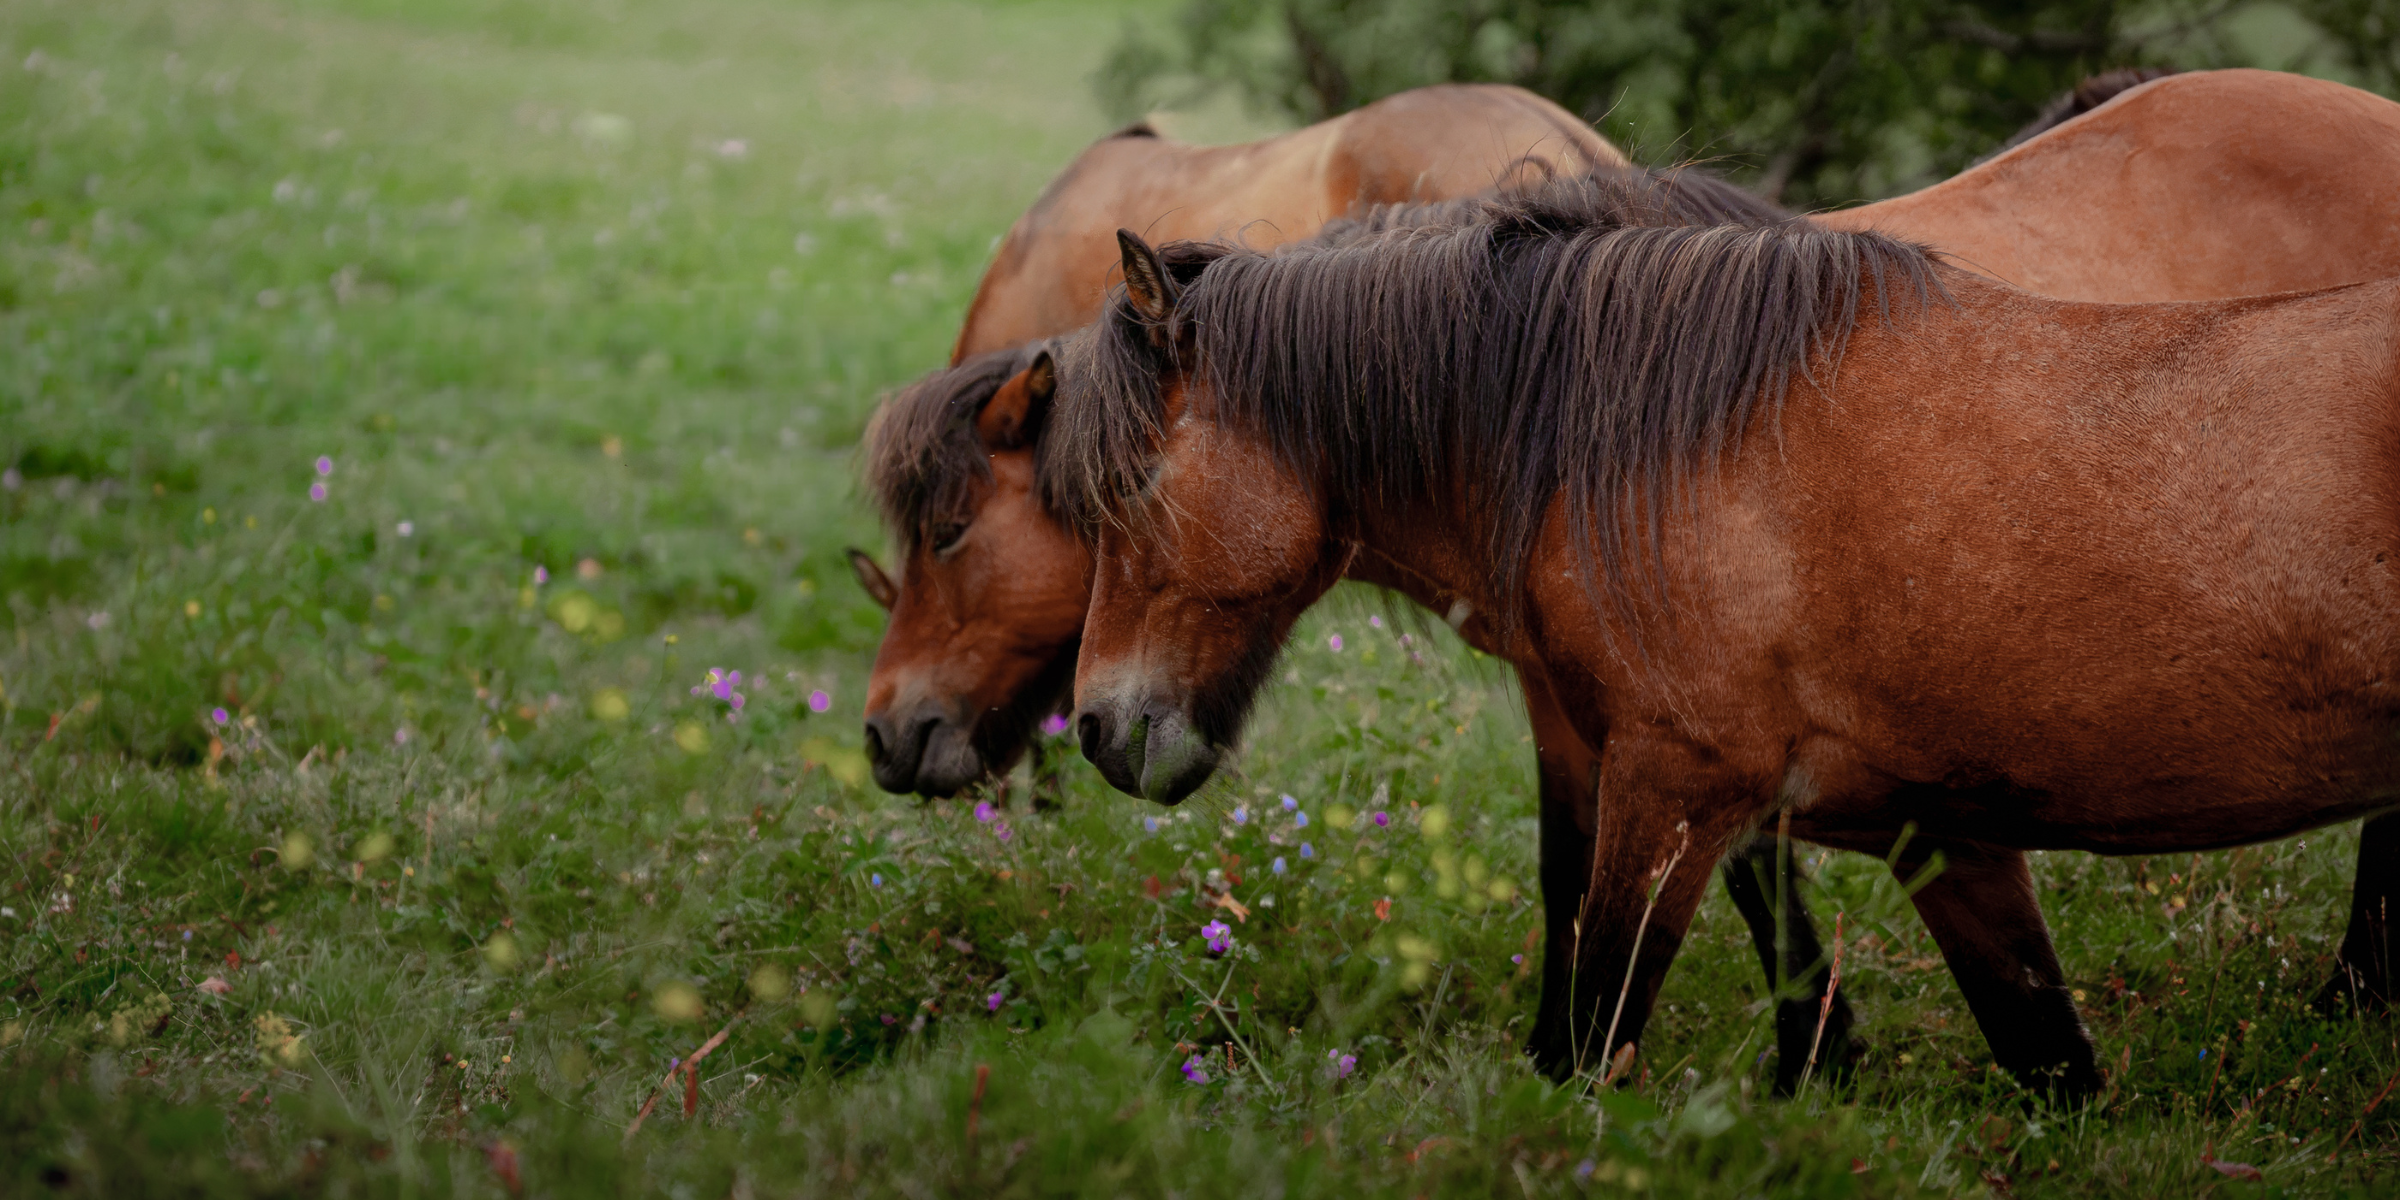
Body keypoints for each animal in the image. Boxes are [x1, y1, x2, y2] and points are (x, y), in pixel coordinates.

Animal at [860, 69, 2400, 1092]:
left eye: (959, 534)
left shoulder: (1658, 724)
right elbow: (1623, 868)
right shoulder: (1590, 705)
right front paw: (1793, 1056)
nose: (889, 738)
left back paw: (2354, 1001)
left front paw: (1783, 1056)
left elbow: (1664, 881)